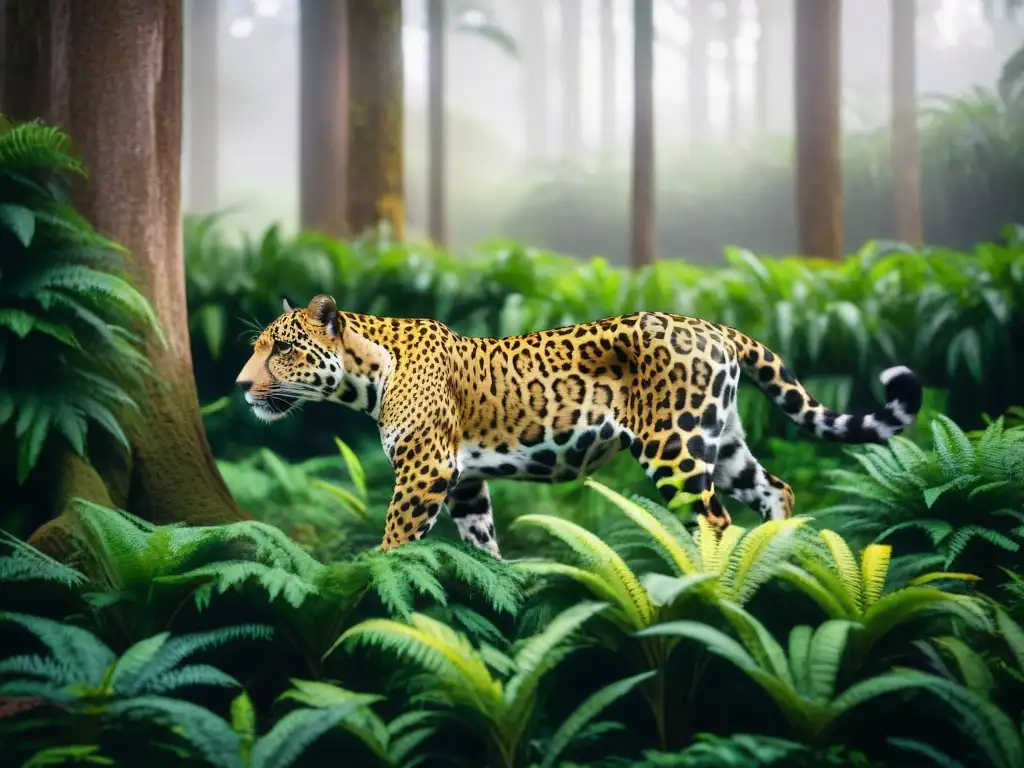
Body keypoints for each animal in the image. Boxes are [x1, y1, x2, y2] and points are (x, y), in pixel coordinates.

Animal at [235, 294, 923, 558]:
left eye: (283, 349)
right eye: (258, 348)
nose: (241, 386)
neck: (369, 374)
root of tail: (717, 327)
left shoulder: (425, 470)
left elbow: (396, 544)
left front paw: (375, 585)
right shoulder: (464, 481)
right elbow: (483, 546)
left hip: (674, 447)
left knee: (714, 518)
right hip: (722, 442)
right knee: (776, 490)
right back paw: (774, 565)